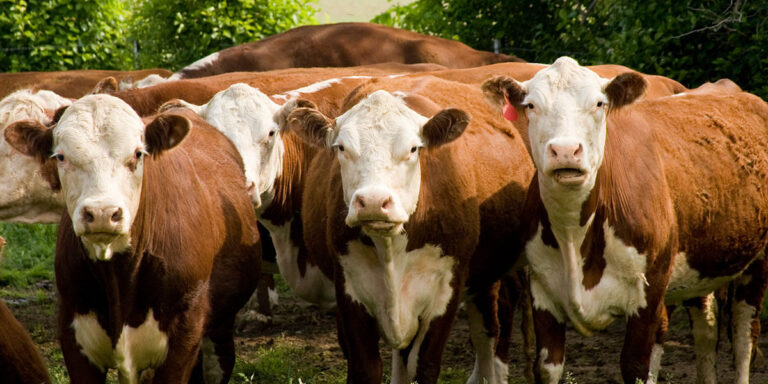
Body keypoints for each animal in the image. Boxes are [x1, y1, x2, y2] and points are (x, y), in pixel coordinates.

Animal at [484, 57, 768, 384]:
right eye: (531, 105)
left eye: (599, 103)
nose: (565, 150)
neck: (573, 235)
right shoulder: (543, 294)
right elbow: (546, 367)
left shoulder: (649, 295)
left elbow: (635, 366)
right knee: (706, 328)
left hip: (757, 260)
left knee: (744, 335)